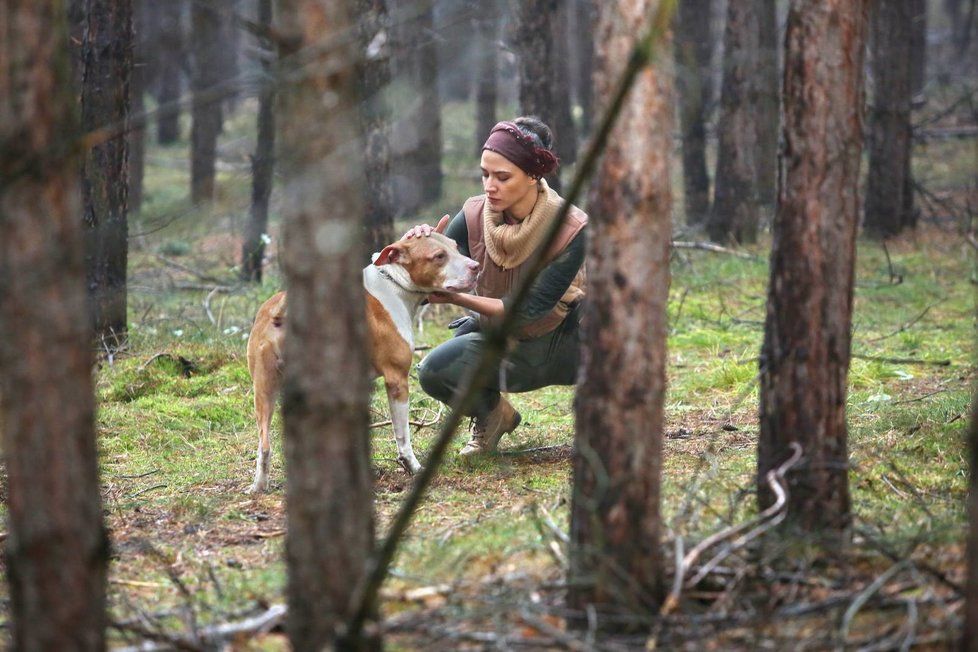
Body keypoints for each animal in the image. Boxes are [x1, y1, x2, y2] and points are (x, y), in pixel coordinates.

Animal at [246, 216, 478, 492]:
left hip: (264, 388)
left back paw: (259, 486)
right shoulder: (396, 380)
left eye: (455, 246)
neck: (395, 282)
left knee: (264, 443)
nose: (475, 266)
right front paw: (412, 467)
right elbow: (402, 436)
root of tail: (282, 313)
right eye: (439, 256)